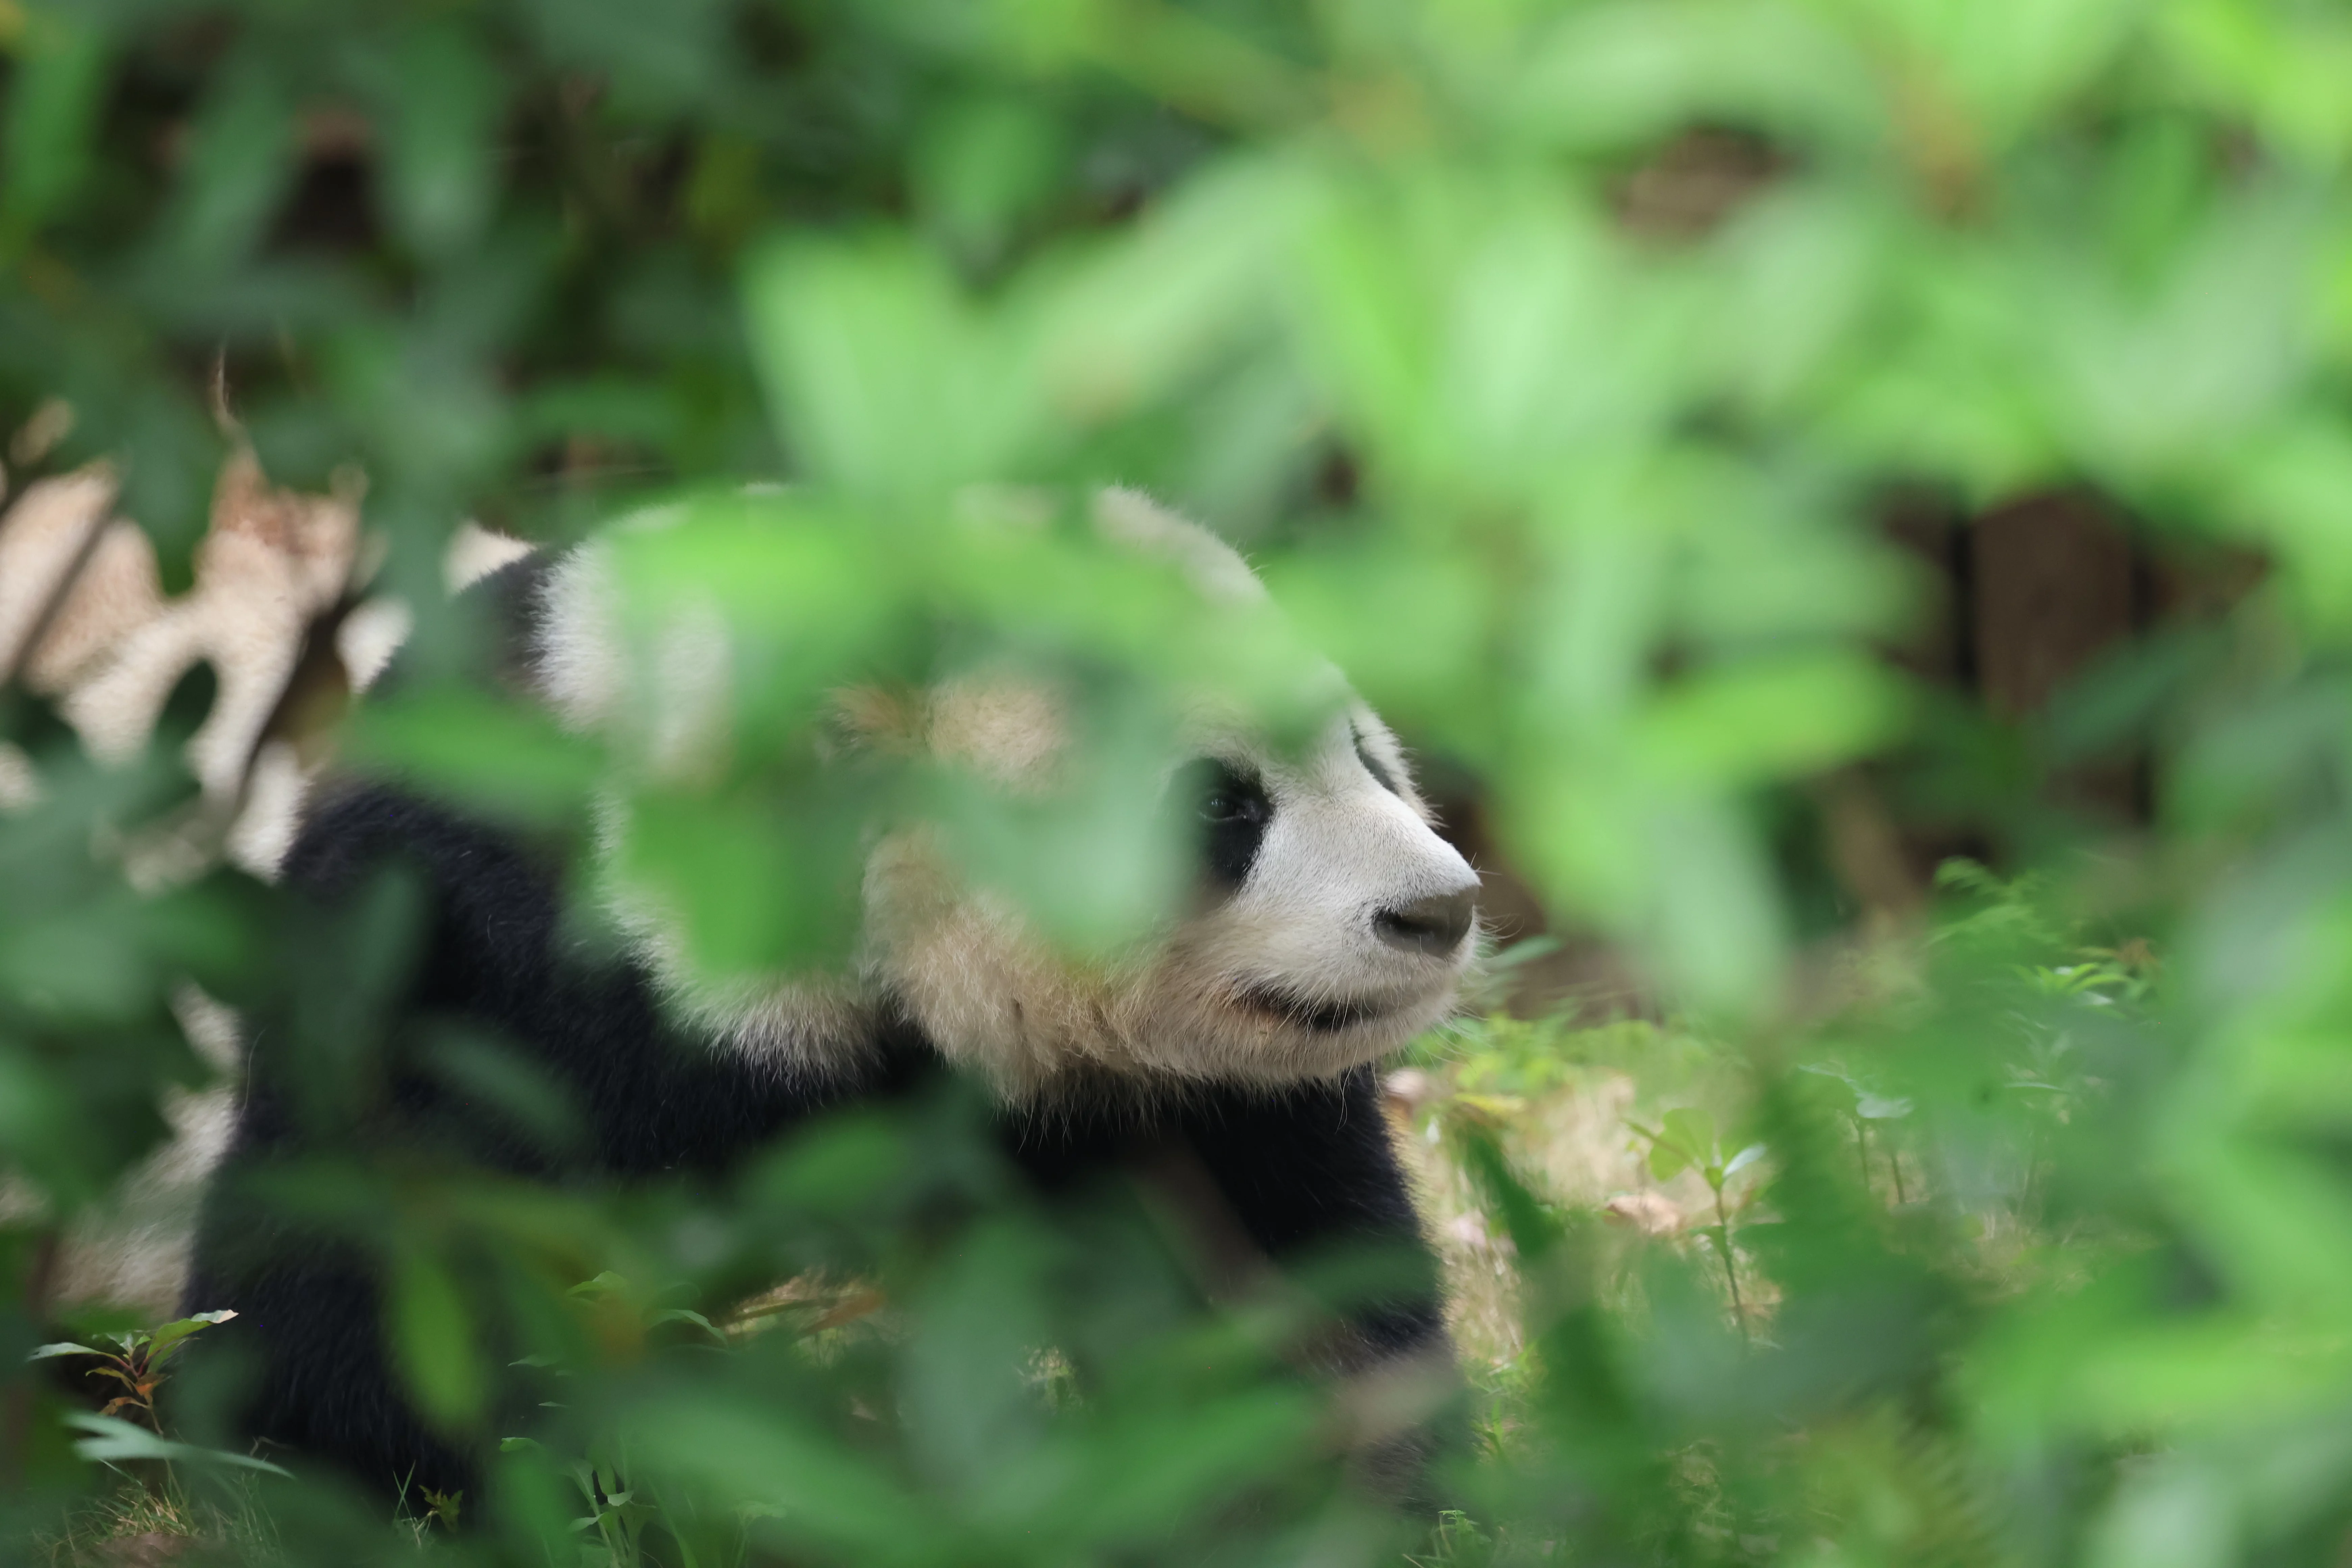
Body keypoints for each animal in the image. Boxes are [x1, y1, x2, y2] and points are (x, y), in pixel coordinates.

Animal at [182, 488, 1482, 1508]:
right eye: (1221, 803)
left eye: (1364, 753)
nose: (1439, 910)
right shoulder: (468, 965)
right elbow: (359, 1325)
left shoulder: (1155, 1101)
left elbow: (1285, 1279)